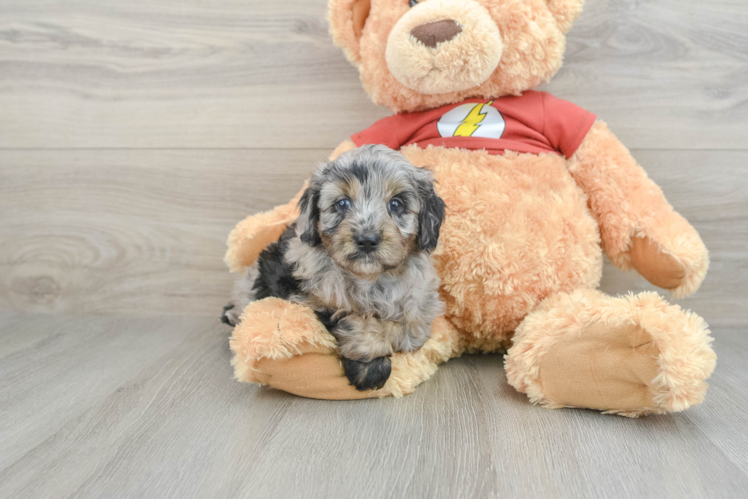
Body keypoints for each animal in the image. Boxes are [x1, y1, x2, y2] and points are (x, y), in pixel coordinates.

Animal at [222, 145, 444, 390]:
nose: (367, 240)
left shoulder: (420, 309)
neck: (369, 278)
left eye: (396, 204)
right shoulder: (301, 294)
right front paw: (368, 367)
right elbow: (334, 311)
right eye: (342, 203)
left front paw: (363, 344)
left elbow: (407, 329)